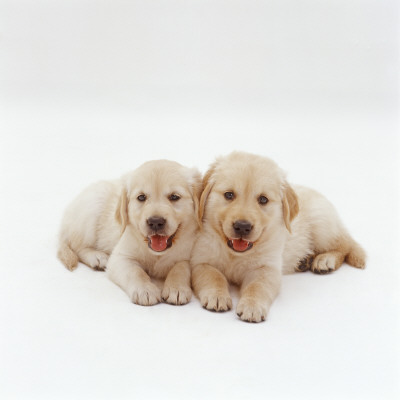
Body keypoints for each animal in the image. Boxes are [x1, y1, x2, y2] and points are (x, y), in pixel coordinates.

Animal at [57, 159, 202, 306]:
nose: (155, 222)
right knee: (77, 246)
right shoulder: (121, 257)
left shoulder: (190, 256)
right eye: (141, 197)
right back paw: (97, 257)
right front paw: (145, 290)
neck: (156, 254)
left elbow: (181, 268)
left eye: (174, 197)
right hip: (92, 207)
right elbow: (135, 272)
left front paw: (176, 288)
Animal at [191, 152, 366, 324]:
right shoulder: (201, 261)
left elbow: (257, 286)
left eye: (263, 199)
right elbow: (213, 276)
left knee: (344, 244)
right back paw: (305, 261)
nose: (242, 226)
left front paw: (252, 306)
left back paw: (325, 260)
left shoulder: (267, 268)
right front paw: (217, 295)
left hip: (322, 224)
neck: (235, 254)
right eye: (229, 195)